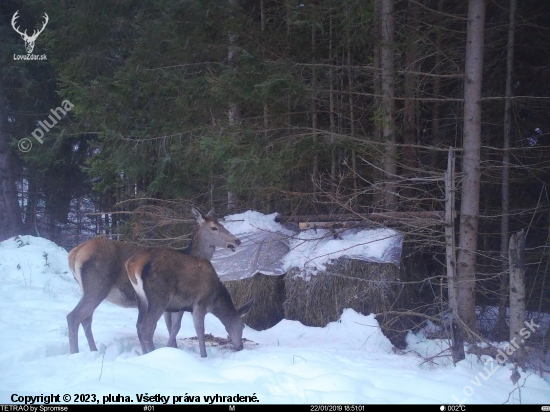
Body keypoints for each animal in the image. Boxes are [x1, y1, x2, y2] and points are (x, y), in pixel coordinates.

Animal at [66, 209, 239, 354]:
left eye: (222, 224)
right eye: (214, 227)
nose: (237, 240)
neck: (192, 254)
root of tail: (74, 254)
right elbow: (172, 328)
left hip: (90, 290)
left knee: (86, 319)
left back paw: (93, 351)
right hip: (98, 287)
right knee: (74, 316)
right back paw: (75, 353)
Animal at [126, 248, 254, 358]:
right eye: (242, 326)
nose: (240, 347)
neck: (215, 300)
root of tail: (131, 264)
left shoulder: (179, 306)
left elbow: (175, 328)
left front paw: (169, 348)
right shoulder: (200, 303)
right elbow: (200, 330)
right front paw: (204, 355)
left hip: (141, 298)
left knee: (138, 325)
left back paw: (144, 354)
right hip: (159, 296)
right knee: (146, 326)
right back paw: (151, 353)